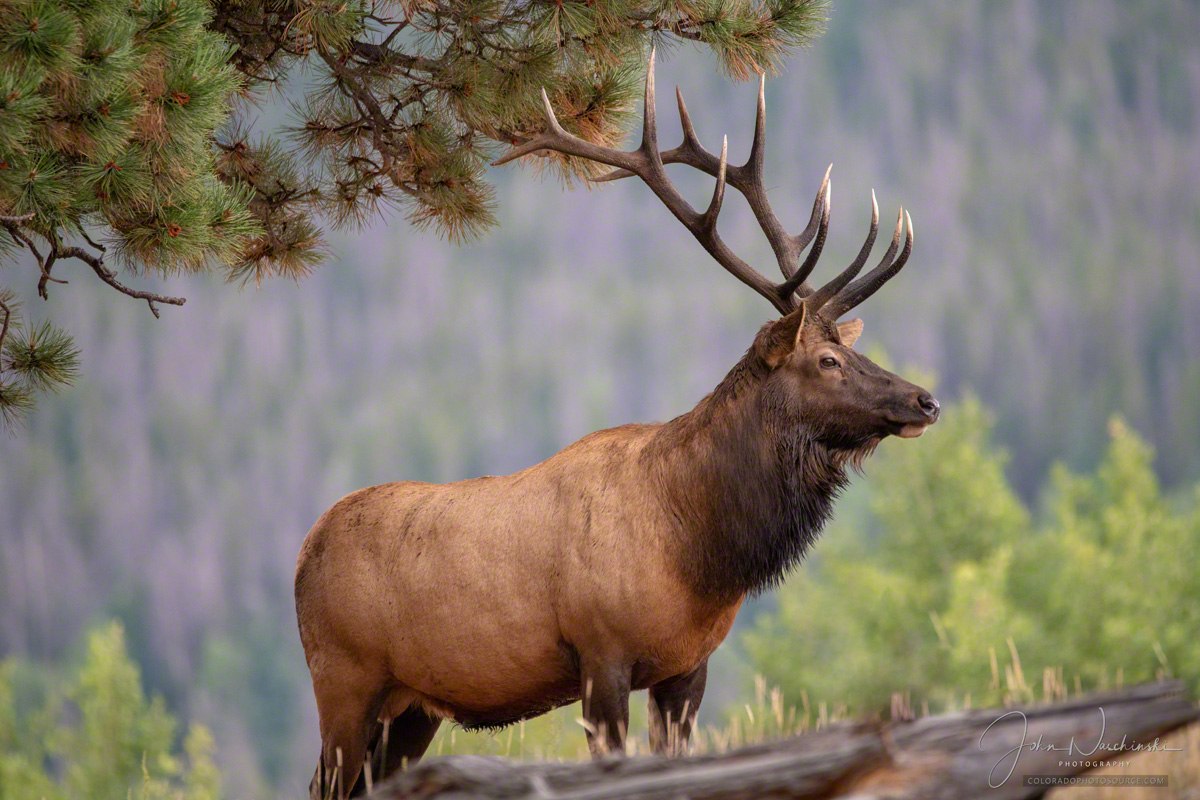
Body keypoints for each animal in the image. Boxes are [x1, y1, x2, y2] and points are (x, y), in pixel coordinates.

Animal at [295, 51, 940, 799]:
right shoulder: (601, 654)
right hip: (342, 679)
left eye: (854, 349)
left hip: (412, 707)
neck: (697, 551)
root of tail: (304, 552)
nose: (925, 401)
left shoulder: (687, 668)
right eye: (828, 359)